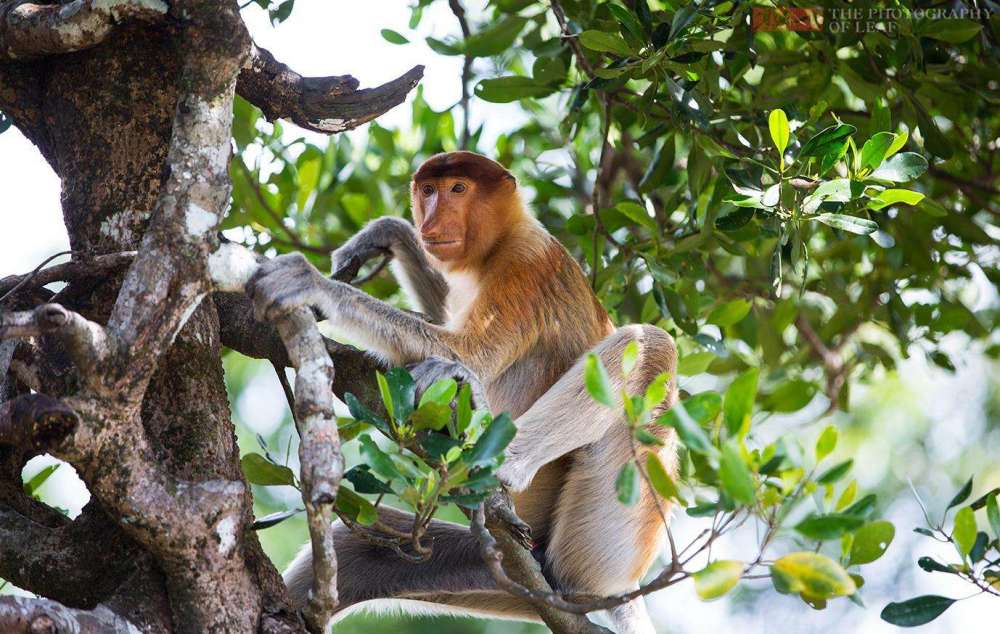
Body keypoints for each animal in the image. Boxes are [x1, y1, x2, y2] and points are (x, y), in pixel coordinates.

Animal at [252, 151, 680, 628]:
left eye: (458, 189)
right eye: (428, 190)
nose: (431, 222)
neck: (501, 239)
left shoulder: (525, 266)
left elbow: (470, 352)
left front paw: (313, 284)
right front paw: (386, 233)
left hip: (604, 540)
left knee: (651, 344)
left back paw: (498, 452)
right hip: (498, 568)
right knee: (353, 550)